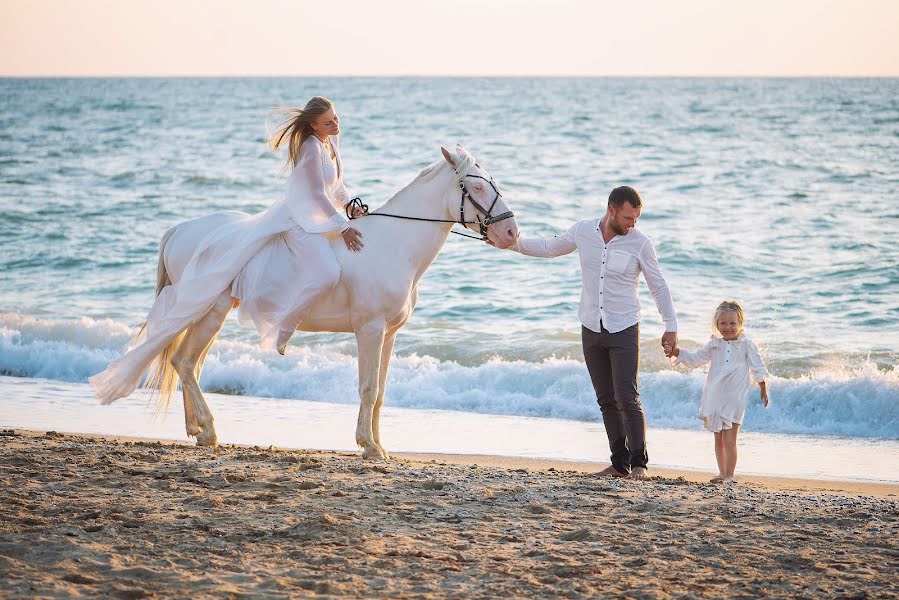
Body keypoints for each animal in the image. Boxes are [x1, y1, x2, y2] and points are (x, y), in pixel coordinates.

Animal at [138, 146, 516, 460]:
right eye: (477, 189)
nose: (512, 233)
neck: (392, 244)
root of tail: (179, 230)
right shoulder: (370, 330)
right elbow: (368, 388)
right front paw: (369, 447)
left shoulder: (389, 334)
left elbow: (380, 392)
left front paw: (379, 445)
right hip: (209, 312)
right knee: (185, 362)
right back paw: (210, 430)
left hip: (209, 313)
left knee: (189, 363)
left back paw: (198, 431)